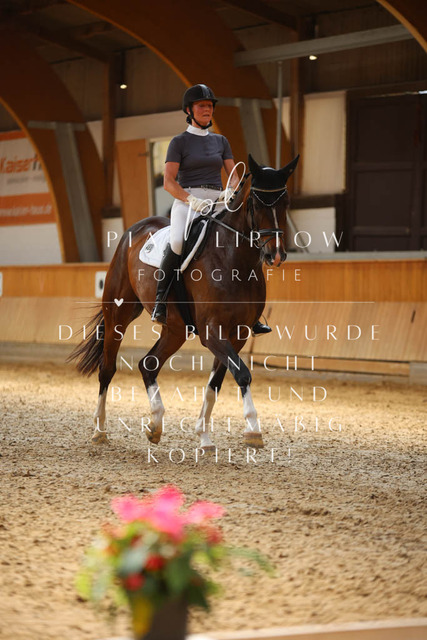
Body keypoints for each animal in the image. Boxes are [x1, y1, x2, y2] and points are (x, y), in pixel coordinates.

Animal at [69, 154, 299, 451]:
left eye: (286, 203)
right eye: (257, 203)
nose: (276, 254)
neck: (235, 261)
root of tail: (135, 228)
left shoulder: (239, 334)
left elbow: (217, 382)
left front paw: (204, 436)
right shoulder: (212, 332)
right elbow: (242, 373)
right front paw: (253, 429)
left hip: (175, 330)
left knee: (148, 364)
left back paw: (155, 424)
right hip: (118, 315)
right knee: (107, 368)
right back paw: (99, 430)